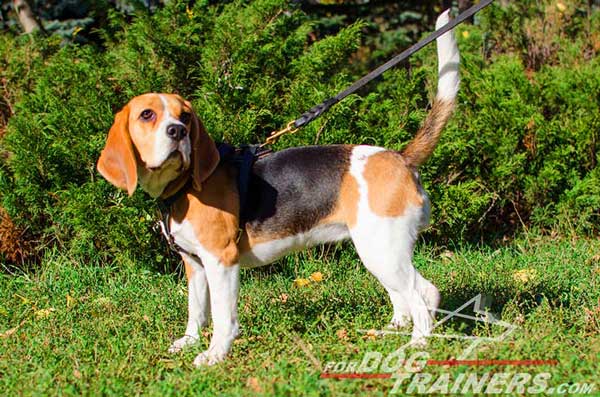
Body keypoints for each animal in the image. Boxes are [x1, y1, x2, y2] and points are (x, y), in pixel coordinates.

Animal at [97, 11, 460, 366]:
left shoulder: (221, 260)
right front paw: (188, 342)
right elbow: (196, 310)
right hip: (378, 251)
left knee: (422, 294)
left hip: (382, 250)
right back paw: (396, 328)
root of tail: (400, 157)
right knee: (411, 295)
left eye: (185, 116)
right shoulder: (195, 264)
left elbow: (223, 317)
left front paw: (215, 354)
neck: (183, 186)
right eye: (147, 115)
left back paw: (418, 344)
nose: (178, 131)